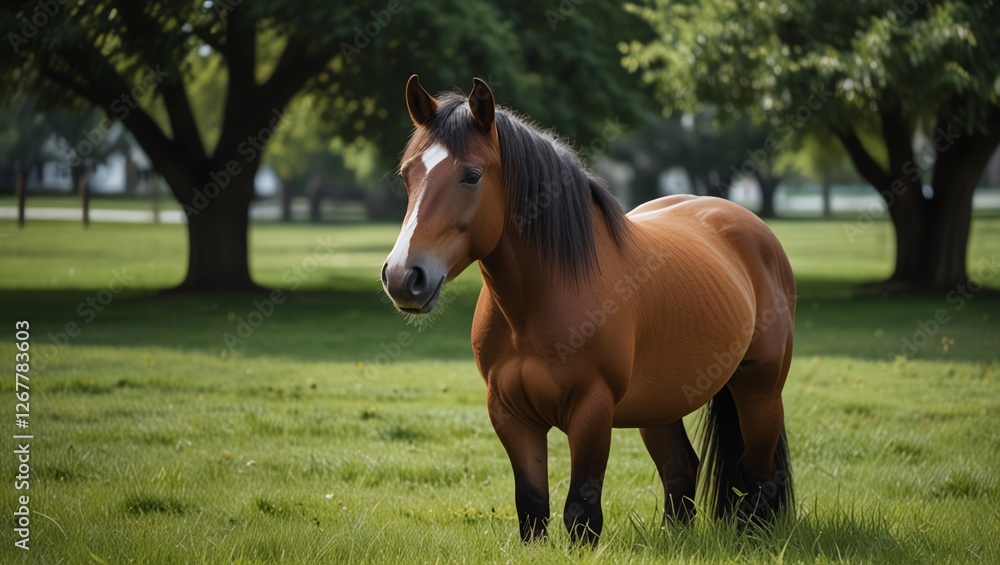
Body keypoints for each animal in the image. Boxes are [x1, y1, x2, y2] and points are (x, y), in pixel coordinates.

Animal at [381, 75, 796, 545]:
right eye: (408, 174)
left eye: (471, 176)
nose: (403, 276)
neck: (540, 301)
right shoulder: (510, 414)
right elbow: (532, 510)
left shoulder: (592, 411)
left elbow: (581, 515)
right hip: (660, 406)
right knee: (681, 468)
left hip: (759, 391)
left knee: (759, 478)